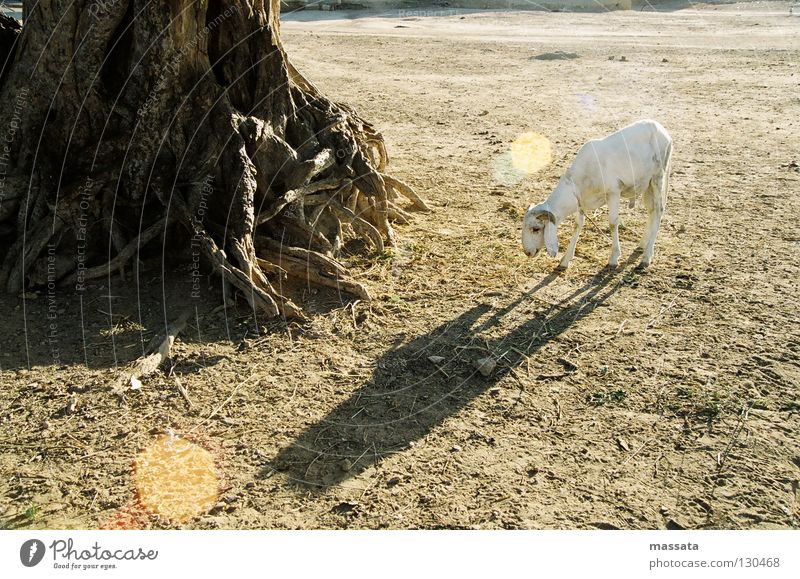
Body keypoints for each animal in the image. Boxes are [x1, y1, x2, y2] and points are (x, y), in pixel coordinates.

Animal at [520, 119, 672, 272]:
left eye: (536, 229)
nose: (527, 252)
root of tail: (661, 129)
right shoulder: (581, 201)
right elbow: (577, 225)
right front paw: (565, 260)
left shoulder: (613, 192)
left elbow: (613, 223)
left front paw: (614, 258)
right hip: (647, 184)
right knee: (651, 211)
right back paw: (642, 245)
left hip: (658, 176)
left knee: (659, 211)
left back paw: (646, 258)